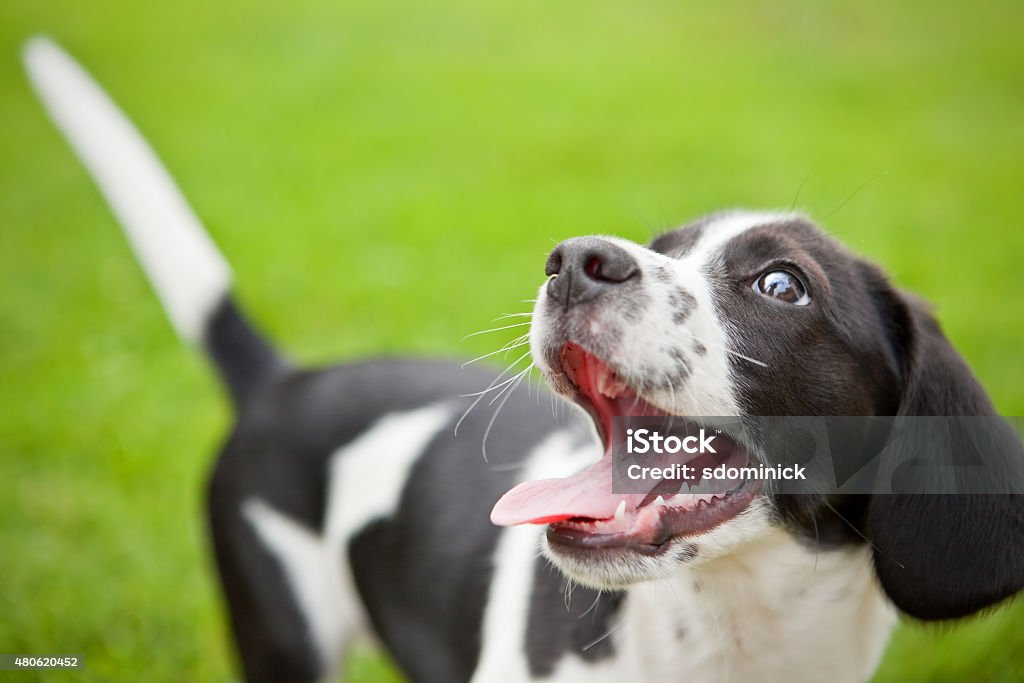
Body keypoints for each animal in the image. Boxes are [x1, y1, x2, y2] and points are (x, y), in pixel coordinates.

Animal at [25, 37, 1024, 683]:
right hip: (282, 628)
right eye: (662, 244)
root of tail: (287, 379)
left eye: (783, 285)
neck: (729, 642)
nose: (576, 258)